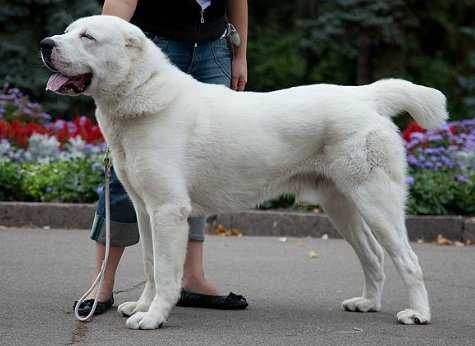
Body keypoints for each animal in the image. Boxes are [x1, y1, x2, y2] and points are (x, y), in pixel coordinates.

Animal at [41, 16, 450, 330]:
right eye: (67, 31)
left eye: (87, 37)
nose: (46, 44)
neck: (141, 96)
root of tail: (365, 96)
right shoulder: (145, 210)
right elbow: (150, 264)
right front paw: (142, 306)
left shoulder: (168, 211)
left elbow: (167, 271)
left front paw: (153, 317)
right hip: (342, 206)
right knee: (373, 256)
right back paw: (367, 303)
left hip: (376, 202)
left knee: (408, 260)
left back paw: (418, 314)